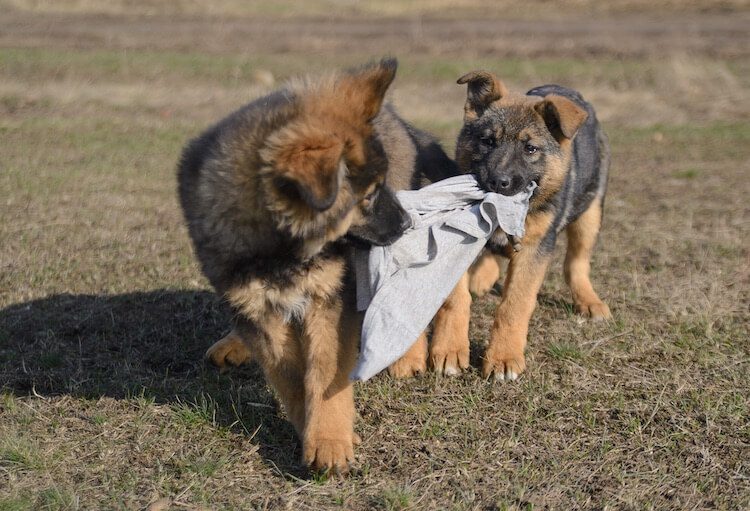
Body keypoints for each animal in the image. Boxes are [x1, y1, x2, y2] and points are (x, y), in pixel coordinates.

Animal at [178, 58, 456, 474]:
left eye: (380, 186)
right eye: (369, 196)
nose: (408, 223)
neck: (282, 250)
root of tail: (397, 118)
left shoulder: (331, 298)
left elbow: (324, 375)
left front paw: (329, 441)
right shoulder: (255, 307)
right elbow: (289, 376)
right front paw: (311, 429)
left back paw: (405, 355)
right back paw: (235, 343)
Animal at [394, 69, 612, 380]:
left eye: (530, 148)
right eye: (487, 141)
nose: (498, 181)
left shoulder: (534, 248)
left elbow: (515, 304)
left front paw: (504, 358)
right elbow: (455, 298)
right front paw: (449, 349)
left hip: (589, 216)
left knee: (576, 263)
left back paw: (589, 301)